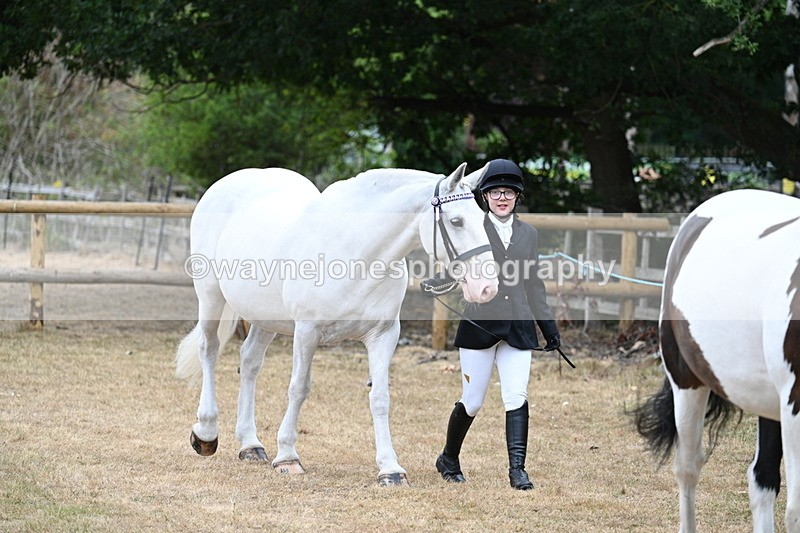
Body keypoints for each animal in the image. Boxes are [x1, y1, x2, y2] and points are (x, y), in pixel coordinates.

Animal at [175, 163, 499, 486]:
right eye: (456, 221)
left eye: (484, 220)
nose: (486, 288)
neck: (358, 255)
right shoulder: (307, 332)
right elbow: (299, 388)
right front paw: (288, 456)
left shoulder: (384, 335)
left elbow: (380, 397)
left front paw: (391, 469)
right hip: (210, 296)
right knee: (209, 350)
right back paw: (206, 433)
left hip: (265, 316)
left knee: (250, 361)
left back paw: (250, 445)